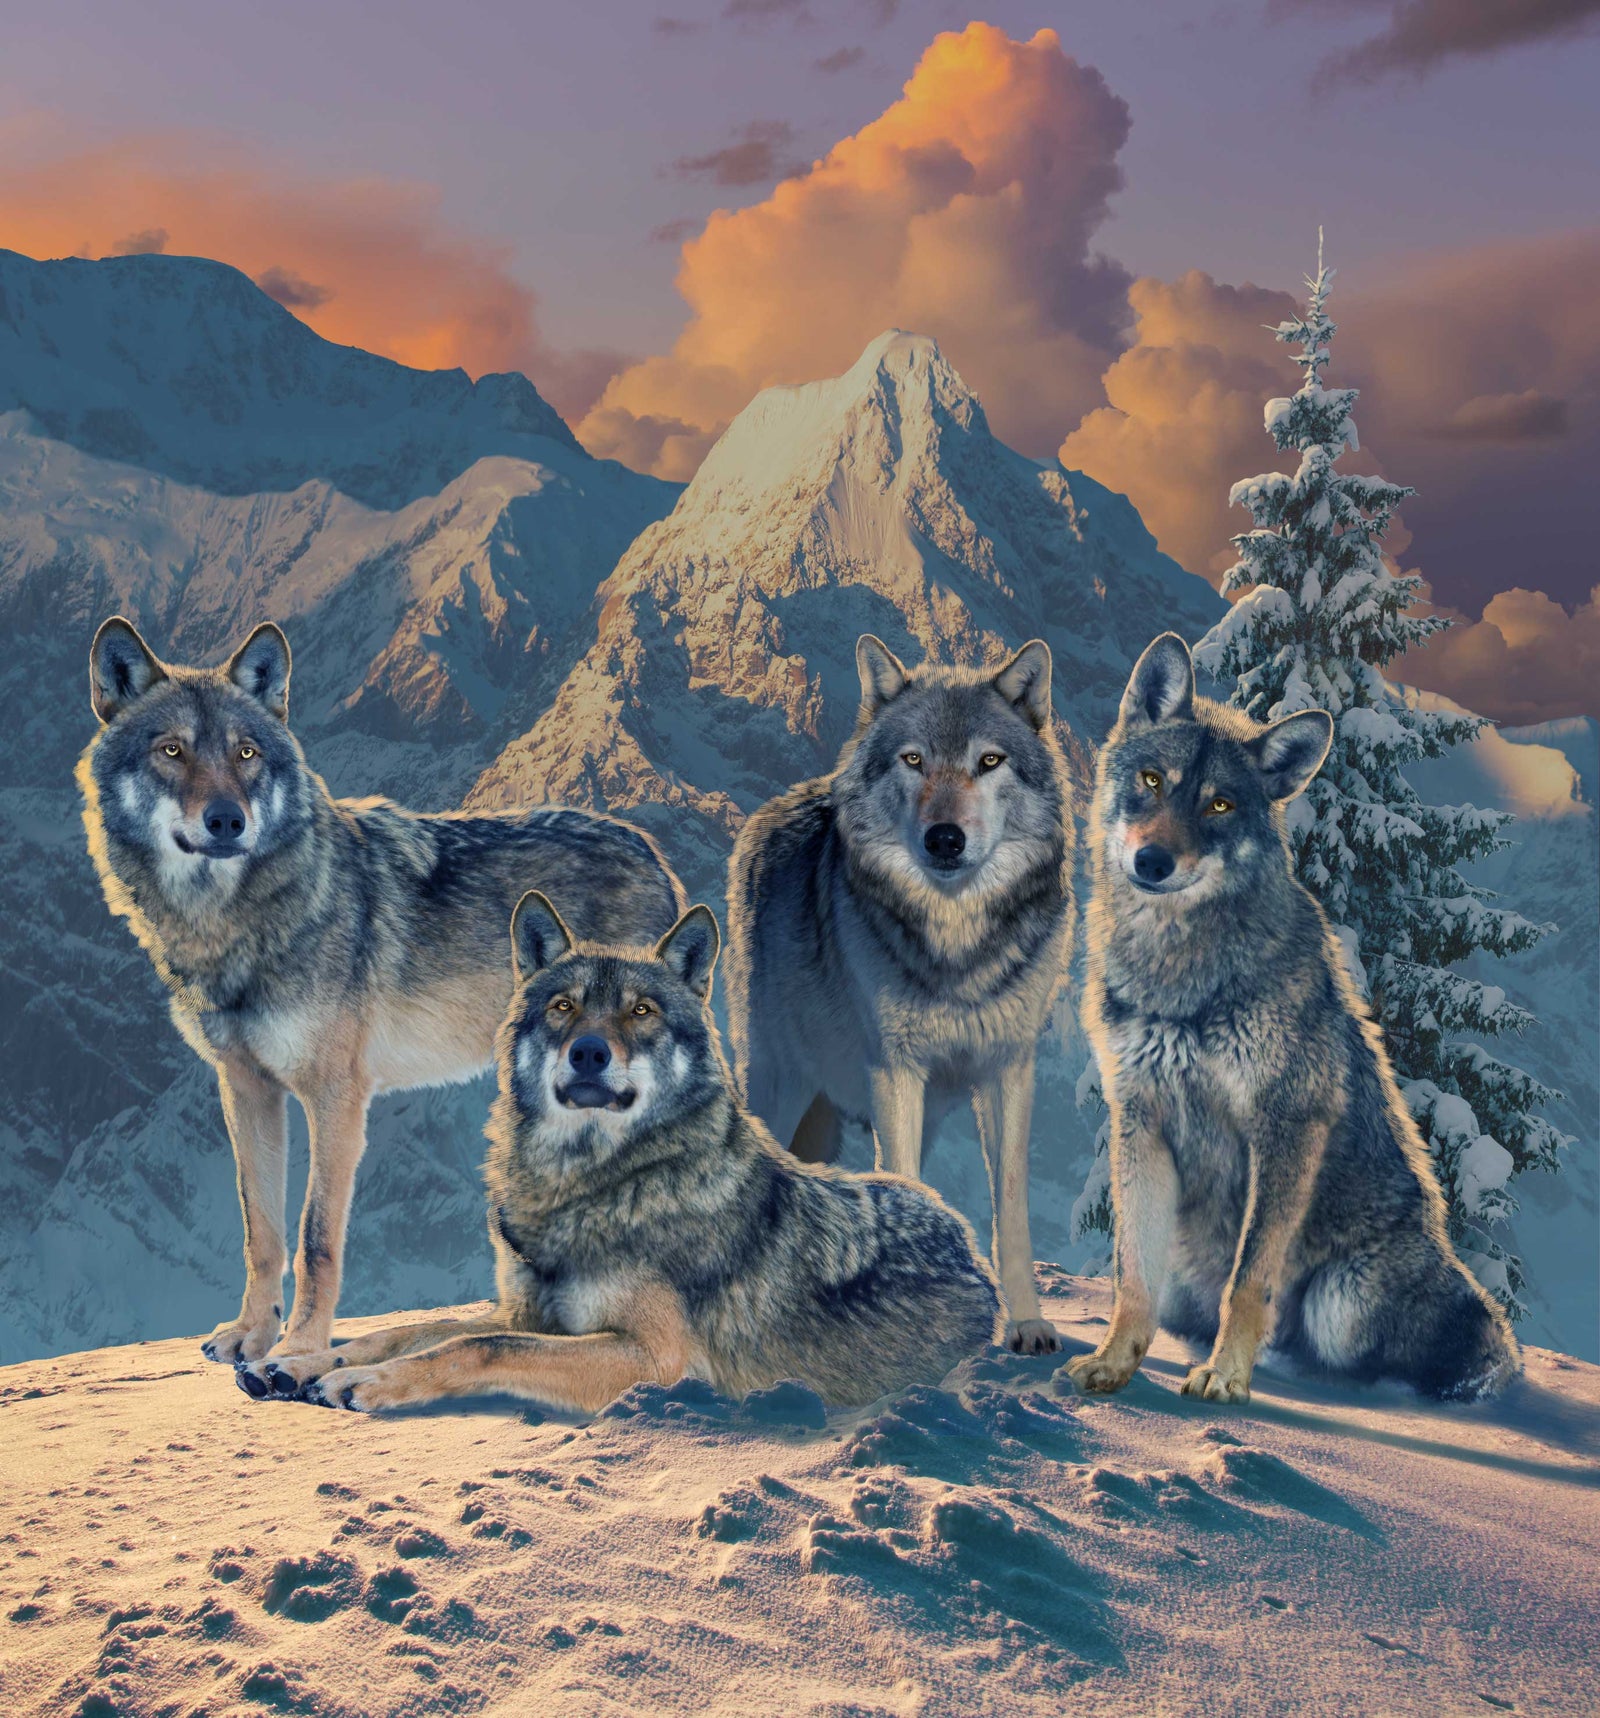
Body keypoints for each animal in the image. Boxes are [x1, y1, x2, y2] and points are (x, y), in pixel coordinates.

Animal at [78, 616, 685, 1376]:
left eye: (246, 753)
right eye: (172, 751)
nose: (227, 821)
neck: (235, 925)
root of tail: (651, 849)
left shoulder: (336, 1095)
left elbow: (317, 1238)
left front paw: (300, 1349)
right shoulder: (245, 1088)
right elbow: (260, 1230)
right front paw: (251, 1337)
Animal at [245, 893, 1004, 1414]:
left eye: (641, 1011)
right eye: (563, 1007)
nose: (589, 1051)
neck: (587, 1184)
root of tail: (971, 1245)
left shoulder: (654, 1357)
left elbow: (474, 1343)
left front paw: (362, 1380)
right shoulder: (529, 1313)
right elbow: (426, 1327)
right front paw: (307, 1362)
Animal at [725, 634, 1074, 1355]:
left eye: (988, 761)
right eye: (914, 760)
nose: (945, 838)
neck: (957, 947)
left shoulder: (1009, 1069)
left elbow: (1012, 1208)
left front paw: (1025, 1323)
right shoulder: (896, 1071)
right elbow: (905, 1180)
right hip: (778, 1082)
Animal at [1063, 632, 1520, 1405]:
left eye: (1219, 804)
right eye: (1152, 781)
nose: (1151, 861)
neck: (1177, 967)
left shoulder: (1286, 1125)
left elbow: (1249, 1280)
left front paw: (1225, 1376)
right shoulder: (1139, 1118)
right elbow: (1131, 1276)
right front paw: (1114, 1362)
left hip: (1346, 1298)